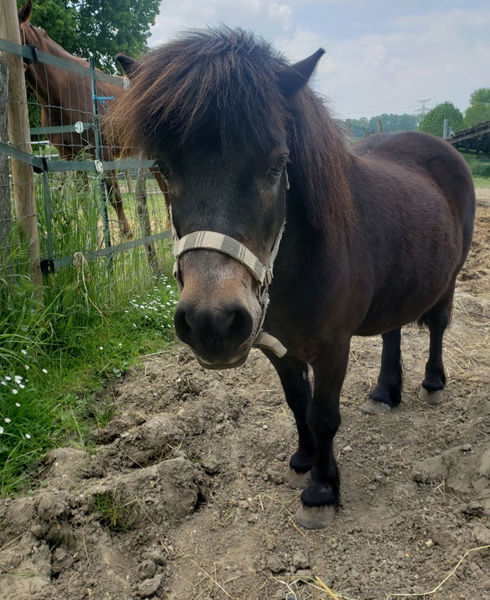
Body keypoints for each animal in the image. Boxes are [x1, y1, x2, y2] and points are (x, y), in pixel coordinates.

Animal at [110, 29, 474, 528]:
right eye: (162, 168)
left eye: (276, 164)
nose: (210, 323)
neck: (299, 263)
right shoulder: (276, 344)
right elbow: (296, 401)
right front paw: (304, 460)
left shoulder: (333, 347)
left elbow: (323, 414)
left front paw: (321, 491)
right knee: (392, 331)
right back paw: (384, 392)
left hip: (450, 276)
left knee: (437, 325)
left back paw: (432, 384)